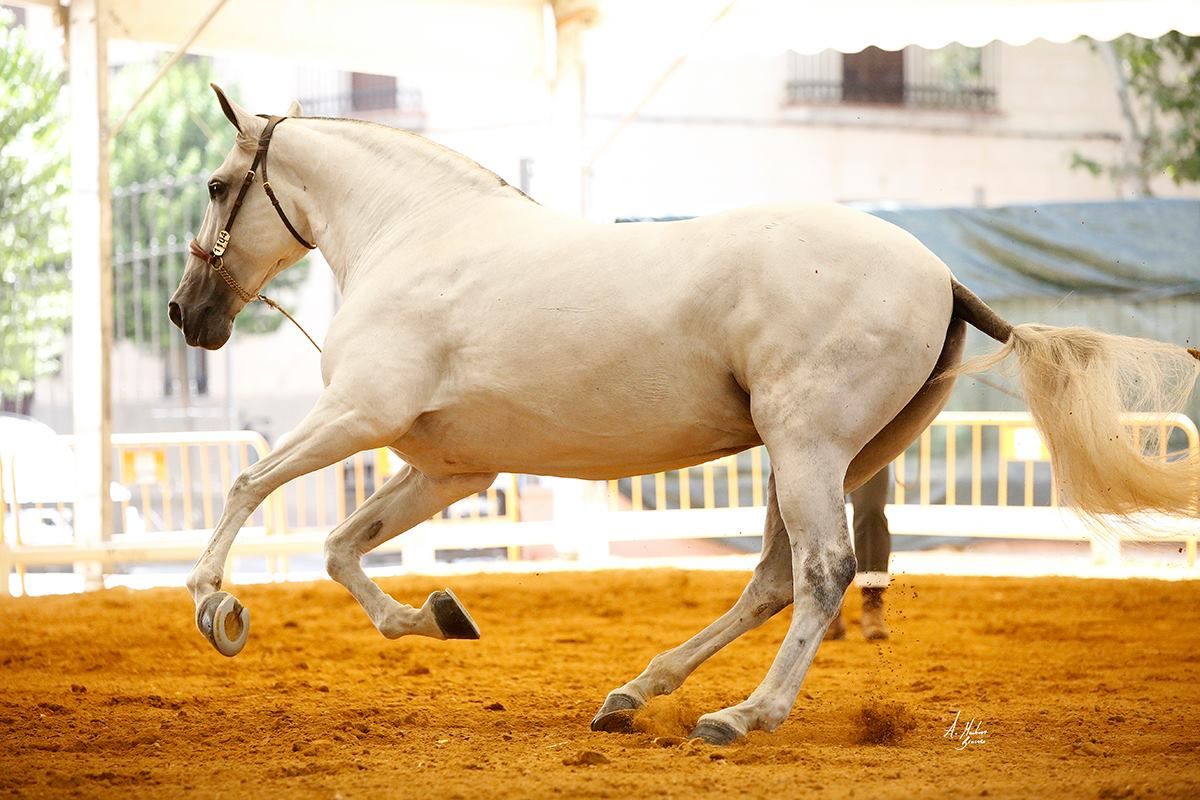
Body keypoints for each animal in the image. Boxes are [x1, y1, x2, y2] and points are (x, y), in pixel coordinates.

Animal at [169, 87, 1200, 743]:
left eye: (218, 186)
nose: (188, 315)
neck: (416, 235)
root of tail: (941, 275)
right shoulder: (450, 466)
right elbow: (342, 548)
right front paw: (441, 614)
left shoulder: (358, 413)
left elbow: (249, 483)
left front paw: (217, 607)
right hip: (830, 457)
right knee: (776, 582)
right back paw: (634, 694)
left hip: (806, 445)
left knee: (822, 574)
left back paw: (742, 717)